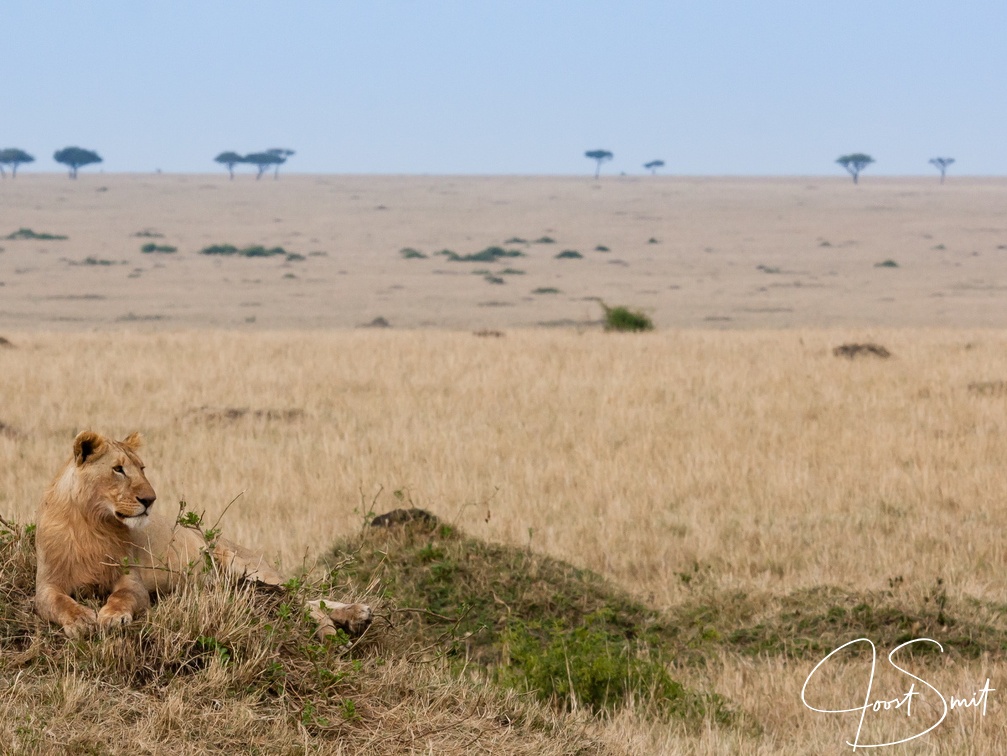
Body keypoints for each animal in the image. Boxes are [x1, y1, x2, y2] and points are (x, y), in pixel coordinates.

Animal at [34, 430, 372, 640]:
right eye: (118, 469)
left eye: (142, 468)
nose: (150, 499)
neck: (93, 523)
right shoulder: (47, 583)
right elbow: (58, 602)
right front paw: (80, 619)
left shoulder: (132, 580)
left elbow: (123, 596)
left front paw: (112, 616)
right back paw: (356, 616)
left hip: (243, 566)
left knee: (302, 597)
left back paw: (344, 620)